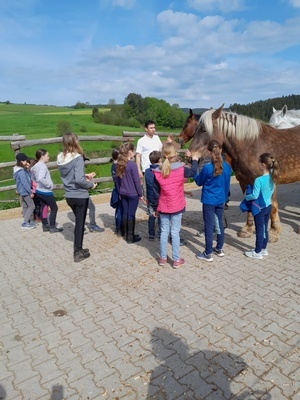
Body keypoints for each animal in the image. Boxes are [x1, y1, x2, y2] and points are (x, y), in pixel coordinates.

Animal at [186, 104, 298, 241]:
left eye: (204, 130)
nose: (189, 156)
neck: (252, 146)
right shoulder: (245, 181)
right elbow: (248, 203)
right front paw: (247, 229)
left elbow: (273, 206)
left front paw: (274, 232)